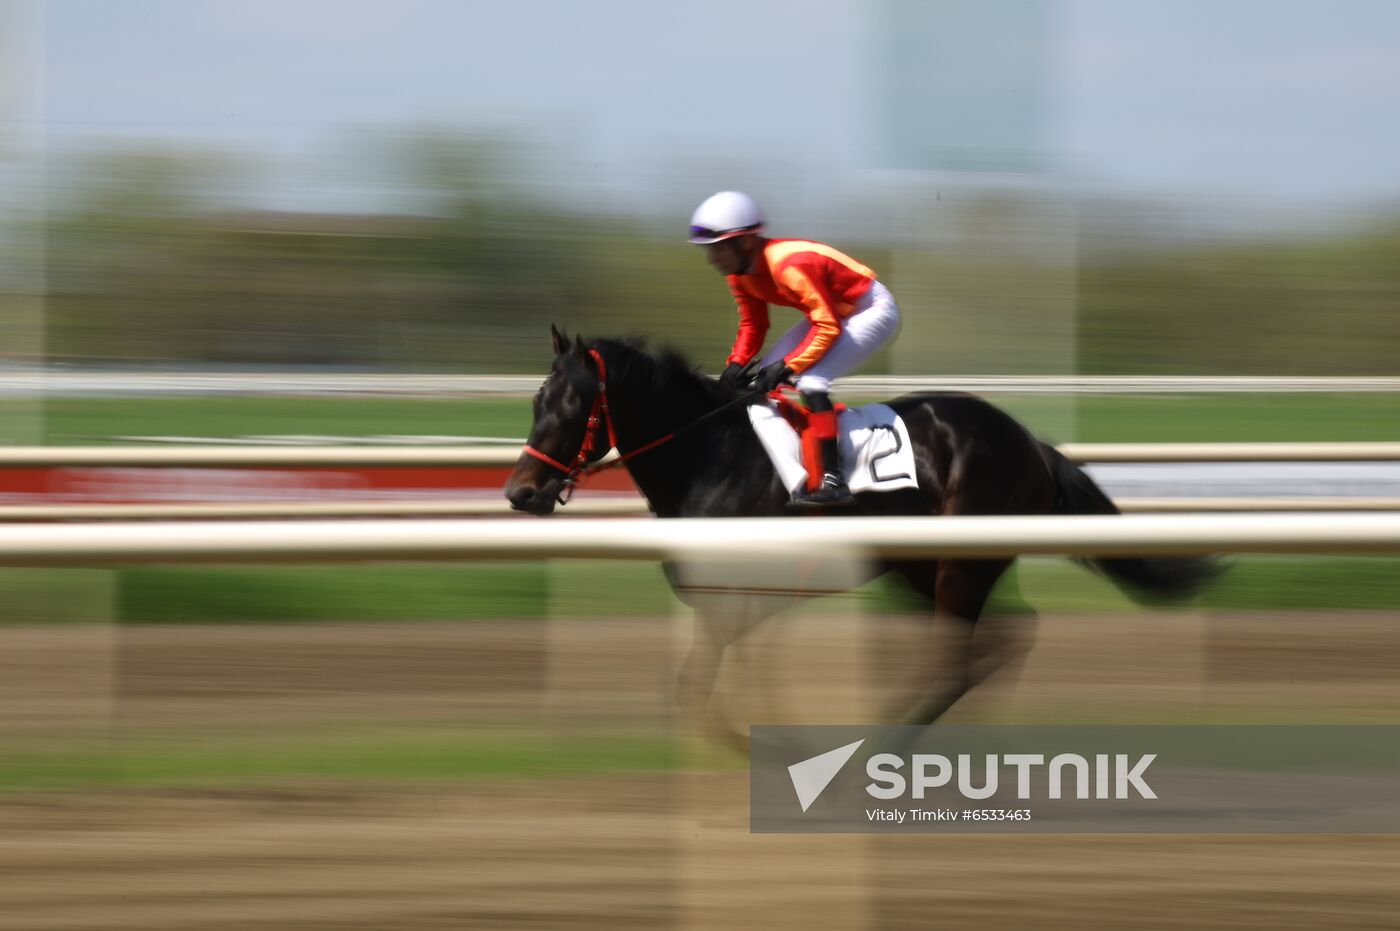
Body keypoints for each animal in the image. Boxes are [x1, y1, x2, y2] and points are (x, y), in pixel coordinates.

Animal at [504, 328, 1217, 749]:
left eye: (572, 405)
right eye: (536, 400)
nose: (520, 493)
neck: (711, 456)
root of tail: (1031, 442)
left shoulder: (744, 597)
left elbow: (696, 690)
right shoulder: (748, 601)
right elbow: (732, 678)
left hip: (961, 562)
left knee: (959, 658)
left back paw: (882, 744)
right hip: (921, 567)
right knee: (1006, 635)